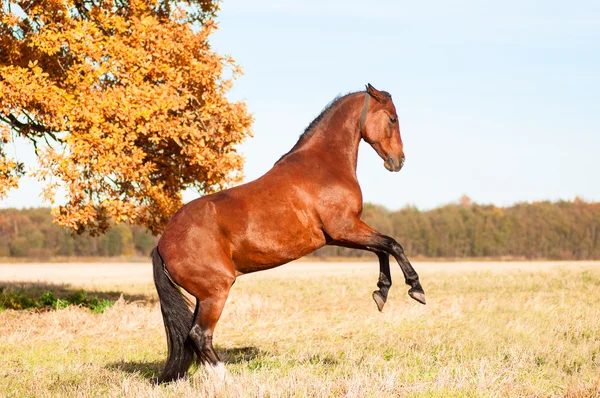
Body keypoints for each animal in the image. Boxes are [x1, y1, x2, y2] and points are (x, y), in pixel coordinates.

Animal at [155, 83, 426, 382]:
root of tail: (163, 244)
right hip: (216, 293)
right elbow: (392, 244)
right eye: (393, 119)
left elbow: (381, 249)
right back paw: (227, 379)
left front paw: (381, 292)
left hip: (203, 298)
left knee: (194, 338)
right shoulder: (345, 227)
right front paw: (415, 288)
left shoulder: (340, 235)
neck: (325, 165)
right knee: (200, 335)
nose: (398, 161)